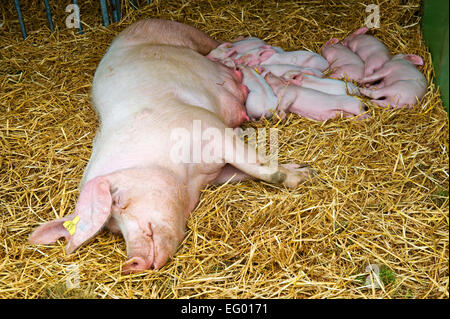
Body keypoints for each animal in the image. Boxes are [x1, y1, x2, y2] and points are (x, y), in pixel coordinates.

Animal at [29, 19, 314, 276]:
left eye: (118, 201)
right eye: (113, 227)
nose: (132, 263)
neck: (189, 177)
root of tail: (134, 24)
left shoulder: (209, 126)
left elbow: (259, 166)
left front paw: (304, 177)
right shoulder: (218, 172)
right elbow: (245, 172)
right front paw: (302, 169)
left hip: (186, 32)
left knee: (216, 44)